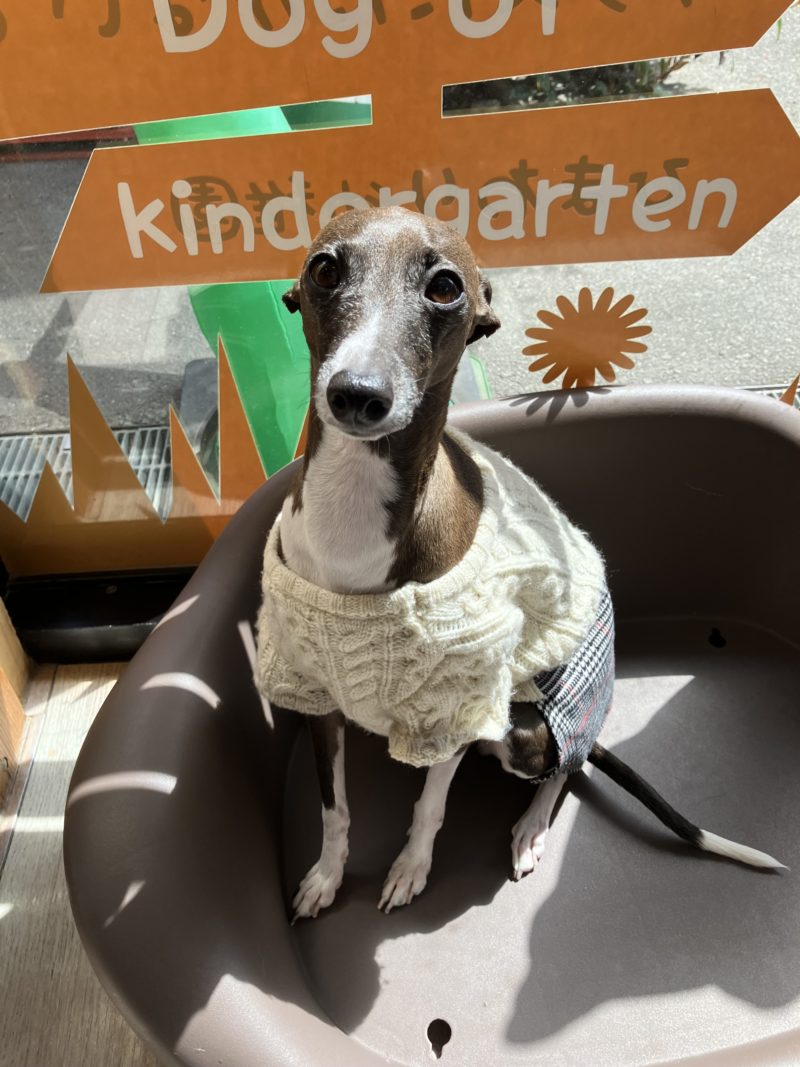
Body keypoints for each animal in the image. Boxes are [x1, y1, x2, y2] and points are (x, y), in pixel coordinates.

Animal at [255, 206, 784, 921]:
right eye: (324, 269)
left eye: (445, 286)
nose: (358, 394)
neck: (353, 515)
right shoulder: (316, 695)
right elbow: (334, 811)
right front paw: (326, 877)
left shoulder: (457, 708)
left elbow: (429, 806)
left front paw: (411, 869)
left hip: (526, 730)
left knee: (568, 767)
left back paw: (532, 827)